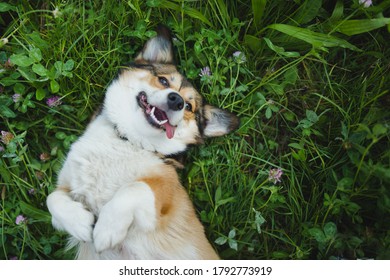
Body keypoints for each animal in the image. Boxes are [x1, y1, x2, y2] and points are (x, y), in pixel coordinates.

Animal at [46, 25, 239, 260]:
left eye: (189, 107)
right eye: (163, 81)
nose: (177, 100)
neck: (129, 140)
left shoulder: (164, 199)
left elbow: (135, 187)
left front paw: (106, 229)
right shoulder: (66, 185)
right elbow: (52, 198)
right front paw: (80, 223)